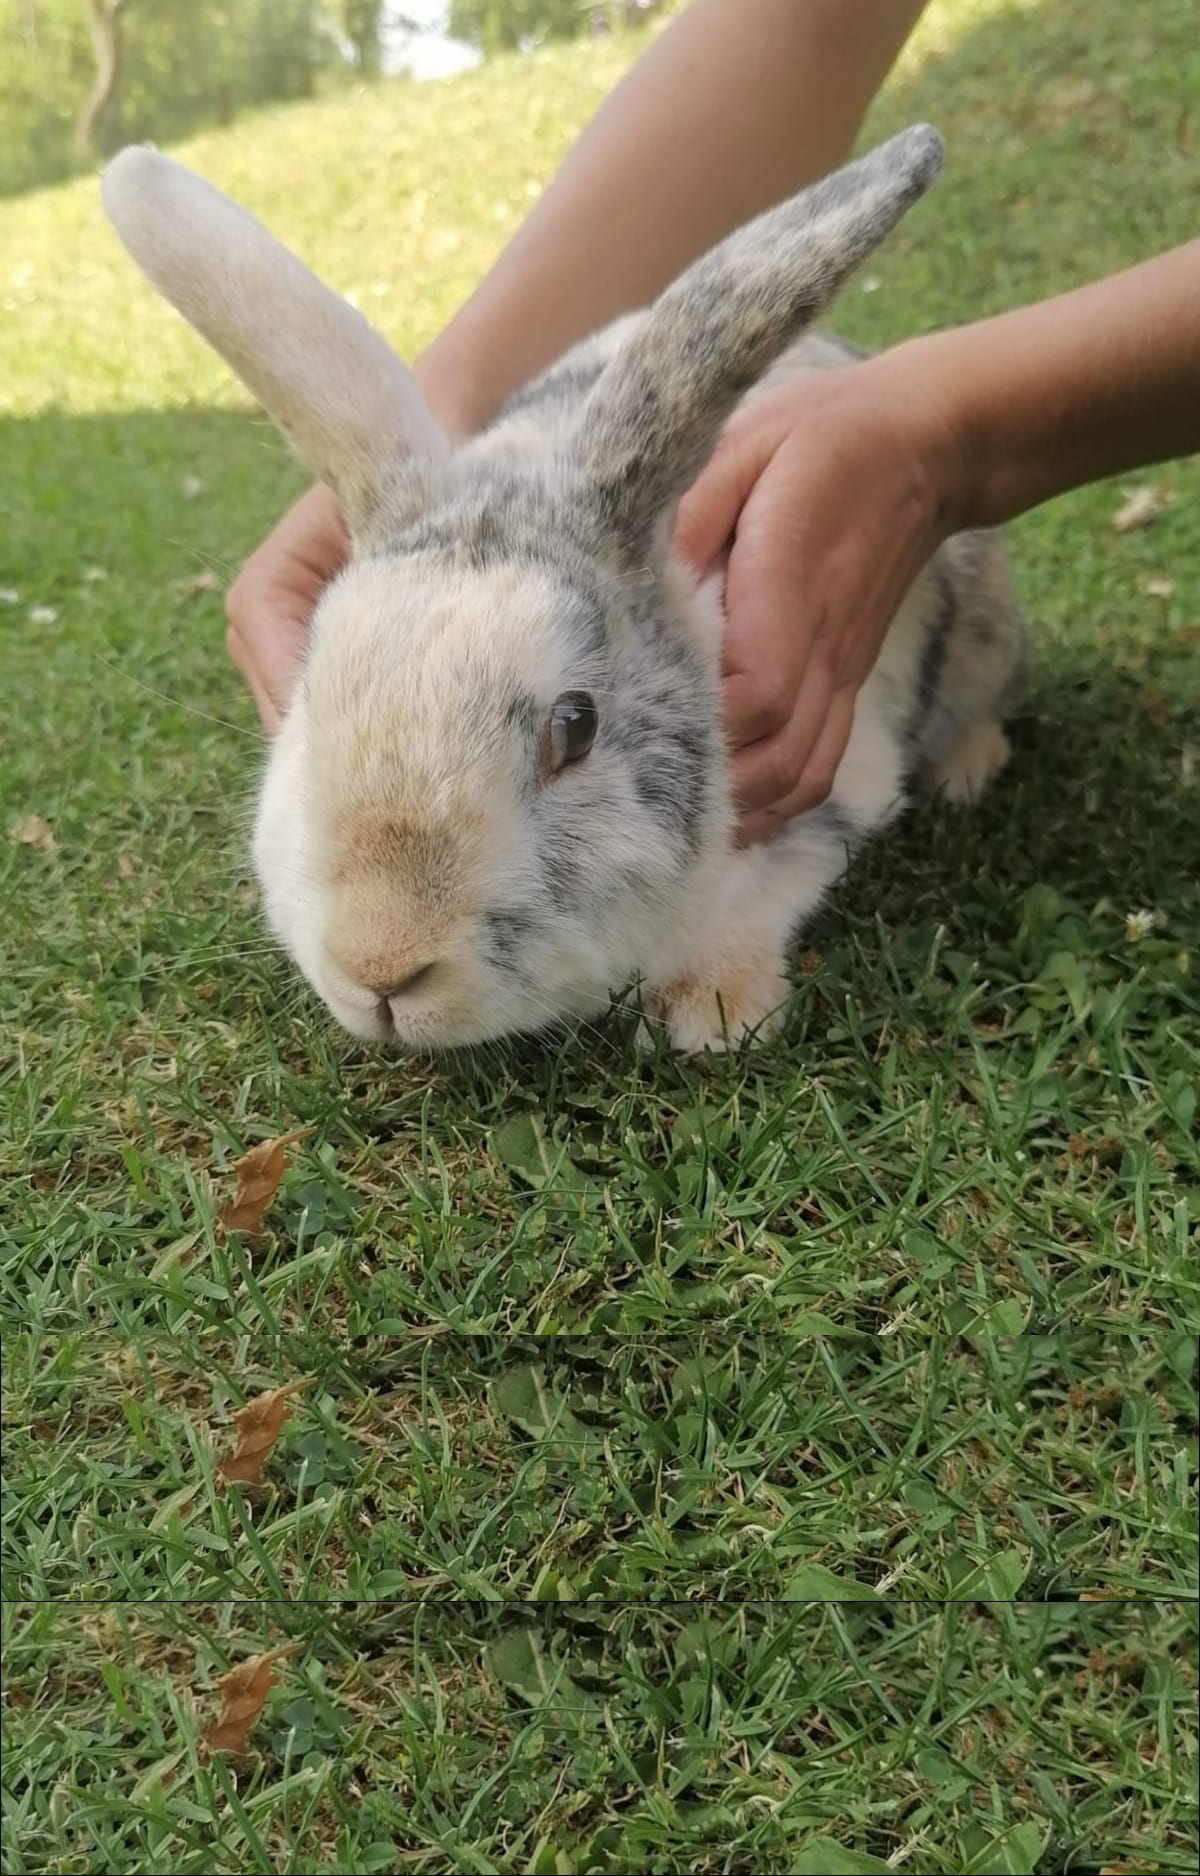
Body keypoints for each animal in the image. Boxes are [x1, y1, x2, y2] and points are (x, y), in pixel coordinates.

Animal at [98, 124, 1027, 1058]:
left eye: (575, 728)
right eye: (310, 700)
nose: (381, 967)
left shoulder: (838, 783)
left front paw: (714, 1014)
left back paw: (969, 769)